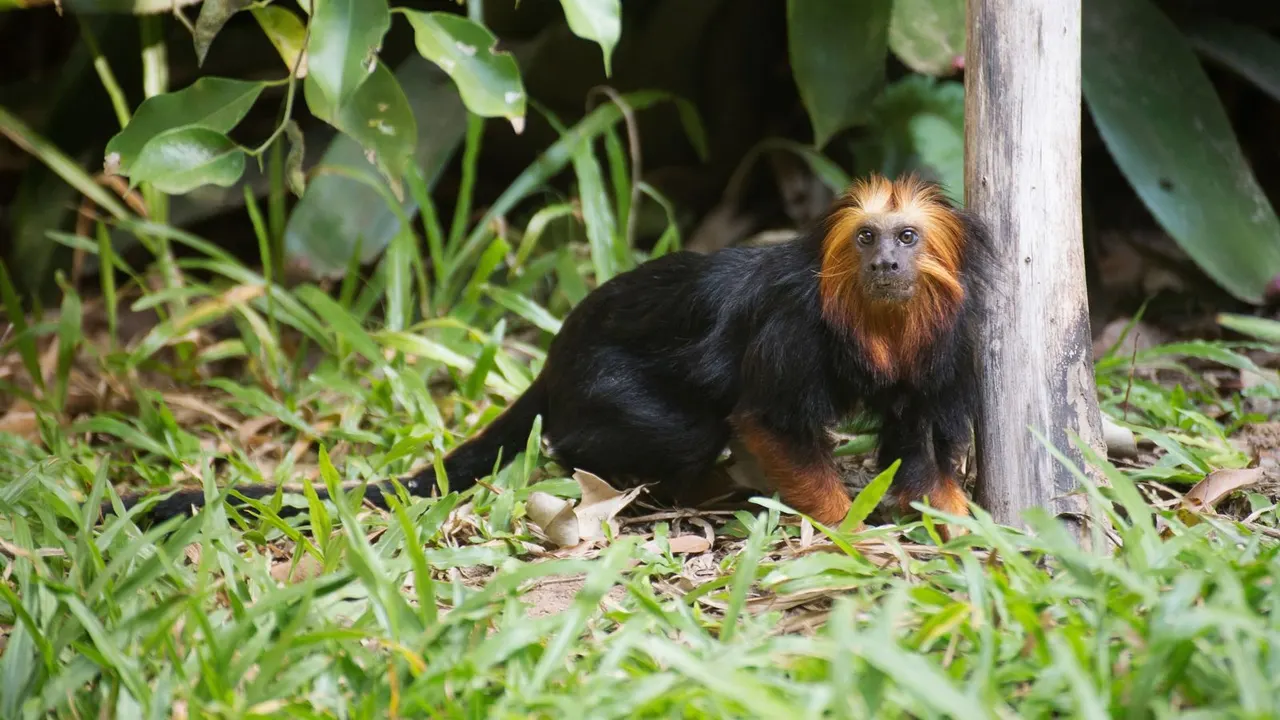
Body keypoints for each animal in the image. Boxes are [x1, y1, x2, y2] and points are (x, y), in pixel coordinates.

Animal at [104, 173, 995, 536]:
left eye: (908, 239)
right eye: (868, 238)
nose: (887, 264)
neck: (871, 320)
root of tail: (557, 359)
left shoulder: (940, 346)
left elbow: (918, 436)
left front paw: (954, 516)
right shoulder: (793, 332)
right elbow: (767, 420)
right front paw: (852, 531)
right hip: (601, 391)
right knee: (676, 429)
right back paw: (692, 486)